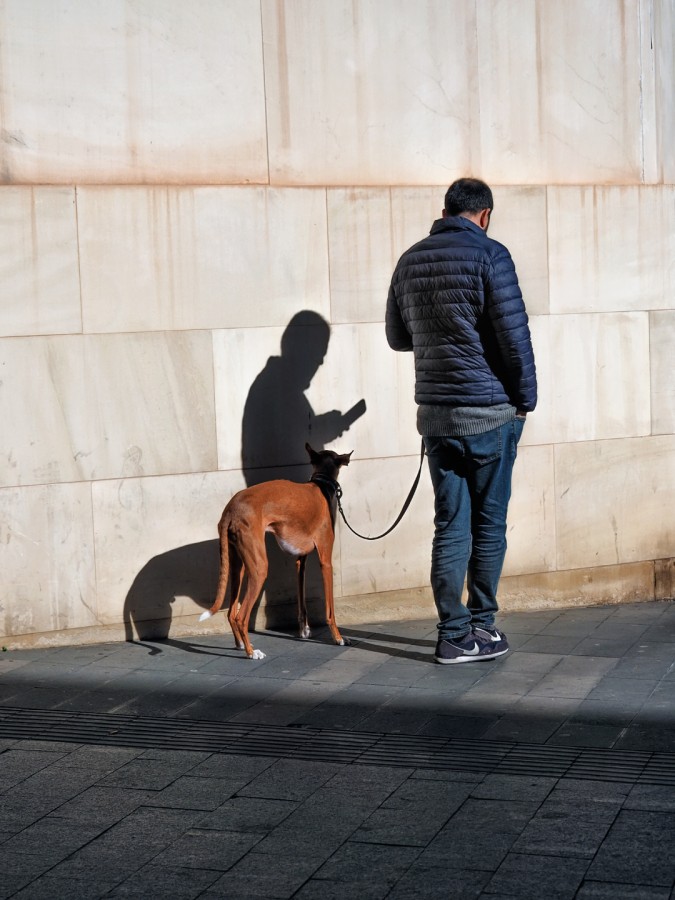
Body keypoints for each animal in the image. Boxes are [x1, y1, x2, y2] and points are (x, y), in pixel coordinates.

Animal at [199, 444, 348, 660]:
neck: (320, 485)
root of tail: (230, 510)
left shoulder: (300, 561)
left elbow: (301, 599)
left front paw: (304, 630)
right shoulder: (325, 561)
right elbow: (331, 611)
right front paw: (338, 638)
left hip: (238, 567)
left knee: (231, 613)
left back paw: (240, 645)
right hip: (259, 568)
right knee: (242, 617)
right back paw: (251, 652)